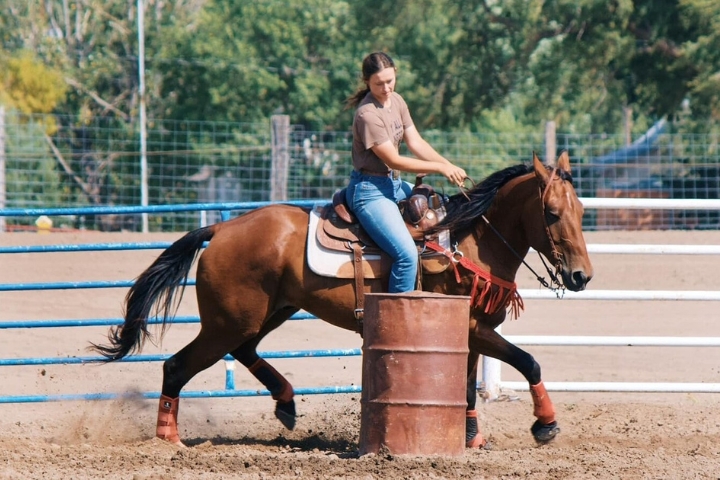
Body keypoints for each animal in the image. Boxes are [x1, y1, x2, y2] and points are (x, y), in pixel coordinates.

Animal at [93, 152, 592, 448]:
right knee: (177, 366)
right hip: (226, 323)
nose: (581, 275)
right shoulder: (475, 328)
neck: (468, 241)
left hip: (266, 313)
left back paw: (286, 403)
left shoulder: (468, 332)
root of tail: (221, 229)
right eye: (552, 213)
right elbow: (528, 361)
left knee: (245, 351)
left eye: (582, 210)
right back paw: (169, 439)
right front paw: (545, 424)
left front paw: (470, 437)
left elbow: (468, 386)